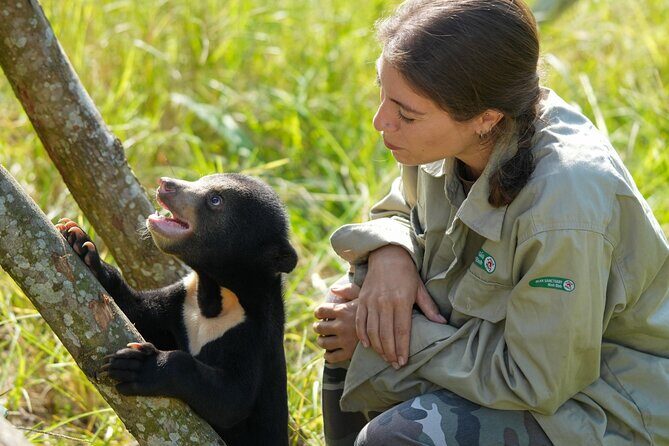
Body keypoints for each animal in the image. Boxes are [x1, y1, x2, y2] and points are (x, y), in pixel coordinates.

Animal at [56, 173, 297, 445]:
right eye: (201, 179)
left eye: (215, 199)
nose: (165, 183)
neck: (214, 297)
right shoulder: (181, 300)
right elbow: (139, 313)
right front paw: (80, 242)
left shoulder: (253, 334)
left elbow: (233, 398)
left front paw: (139, 366)